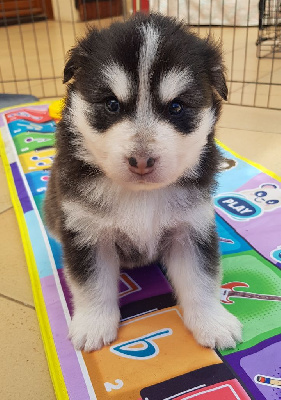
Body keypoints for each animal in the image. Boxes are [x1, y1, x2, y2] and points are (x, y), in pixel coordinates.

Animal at [43, 13, 241, 354]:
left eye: (176, 107)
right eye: (112, 104)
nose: (141, 161)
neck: (140, 195)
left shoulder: (191, 228)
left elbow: (201, 279)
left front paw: (213, 322)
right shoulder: (86, 232)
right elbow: (91, 284)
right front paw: (94, 324)